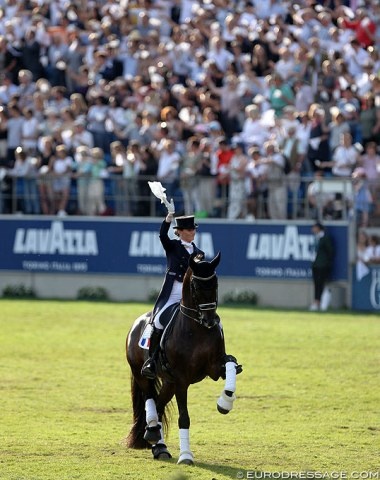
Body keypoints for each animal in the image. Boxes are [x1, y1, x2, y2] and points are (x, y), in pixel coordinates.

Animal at [126, 251, 242, 464]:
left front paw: (225, 402)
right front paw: (186, 455)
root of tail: (137, 323)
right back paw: (153, 433)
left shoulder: (215, 368)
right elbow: (184, 417)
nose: (210, 321)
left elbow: (231, 365)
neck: (198, 328)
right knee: (150, 400)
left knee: (159, 405)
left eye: (216, 284)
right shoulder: (182, 379)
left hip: (169, 383)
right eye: (196, 286)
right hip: (142, 374)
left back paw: (159, 446)